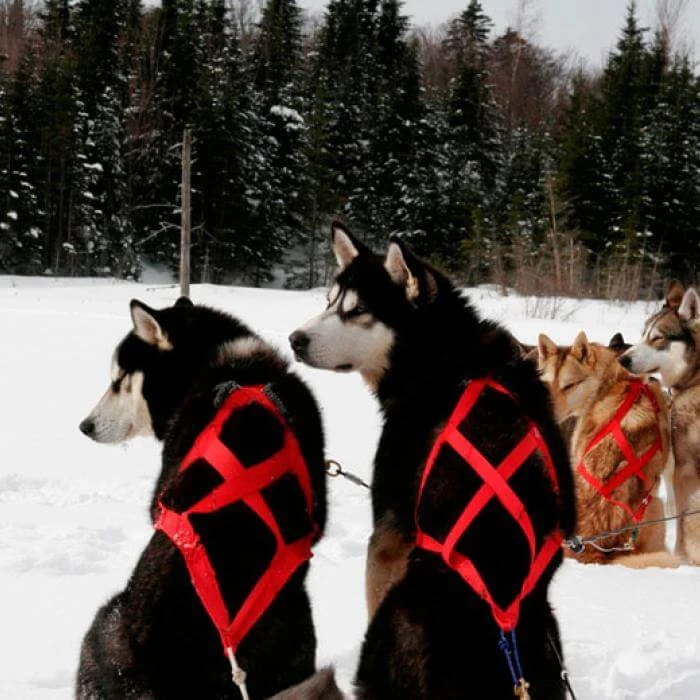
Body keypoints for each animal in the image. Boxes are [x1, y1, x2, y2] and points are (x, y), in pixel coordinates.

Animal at [290, 222, 576, 698]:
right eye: (329, 302)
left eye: (357, 310)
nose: (294, 339)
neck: (446, 360)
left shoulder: (387, 535)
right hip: (549, 643)